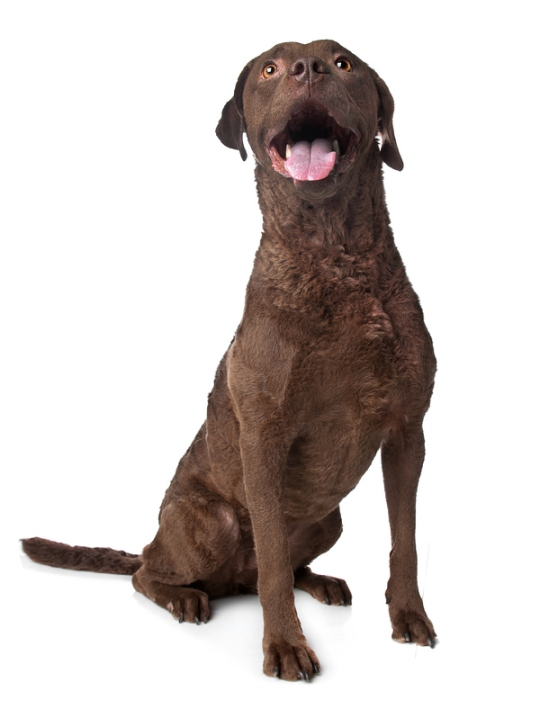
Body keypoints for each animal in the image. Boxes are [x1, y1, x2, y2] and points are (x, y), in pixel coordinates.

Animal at [24, 40, 438, 680]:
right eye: (270, 68)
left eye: (344, 63)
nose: (308, 69)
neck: (334, 256)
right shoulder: (264, 438)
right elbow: (270, 556)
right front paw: (286, 646)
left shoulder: (407, 431)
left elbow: (407, 539)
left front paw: (409, 616)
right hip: (207, 522)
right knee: (152, 573)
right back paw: (185, 597)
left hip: (329, 518)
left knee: (279, 566)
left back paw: (320, 582)